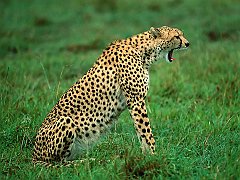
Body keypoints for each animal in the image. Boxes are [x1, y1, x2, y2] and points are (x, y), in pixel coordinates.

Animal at [32, 25, 189, 165]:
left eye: (181, 34)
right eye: (176, 36)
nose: (187, 43)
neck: (144, 51)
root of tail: (34, 154)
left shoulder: (135, 102)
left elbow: (140, 133)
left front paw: (145, 156)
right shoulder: (136, 101)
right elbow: (146, 132)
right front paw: (154, 156)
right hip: (65, 121)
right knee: (58, 162)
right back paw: (87, 162)